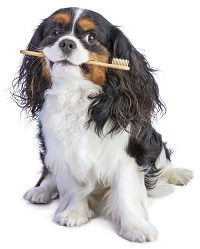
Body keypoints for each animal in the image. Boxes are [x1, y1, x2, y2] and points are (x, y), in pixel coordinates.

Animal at [11, 7, 193, 241]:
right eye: (54, 32)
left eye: (91, 38)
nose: (66, 43)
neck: (76, 94)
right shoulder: (63, 151)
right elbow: (73, 186)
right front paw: (75, 213)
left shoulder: (128, 154)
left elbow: (126, 193)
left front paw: (135, 227)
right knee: (51, 172)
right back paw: (41, 190)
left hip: (153, 140)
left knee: (163, 162)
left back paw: (178, 174)